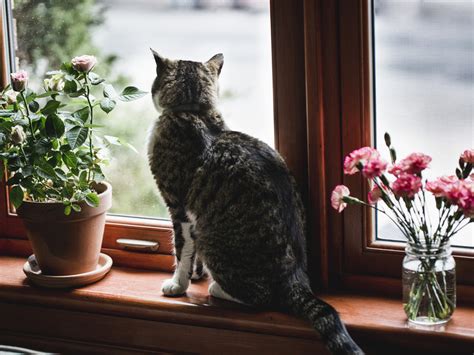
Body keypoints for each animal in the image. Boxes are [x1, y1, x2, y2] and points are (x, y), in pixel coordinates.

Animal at [148, 50, 362, 355]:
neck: (194, 111)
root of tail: (295, 277)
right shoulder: (193, 212)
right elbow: (191, 254)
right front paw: (196, 275)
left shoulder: (179, 207)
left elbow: (182, 249)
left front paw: (178, 284)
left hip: (210, 238)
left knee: (261, 297)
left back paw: (218, 288)